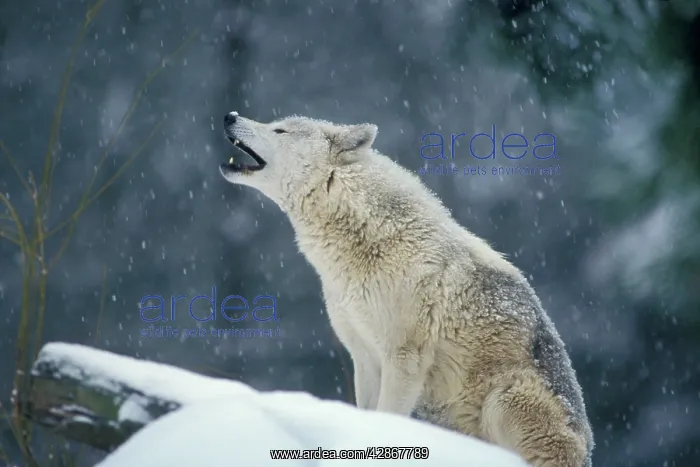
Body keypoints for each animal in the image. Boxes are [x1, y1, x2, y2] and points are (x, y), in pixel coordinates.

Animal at [219, 111, 594, 467]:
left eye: (280, 130)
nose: (230, 116)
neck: (371, 239)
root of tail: (587, 454)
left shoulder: (403, 359)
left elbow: (387, 415)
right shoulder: (364, 357)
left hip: (505, 399)